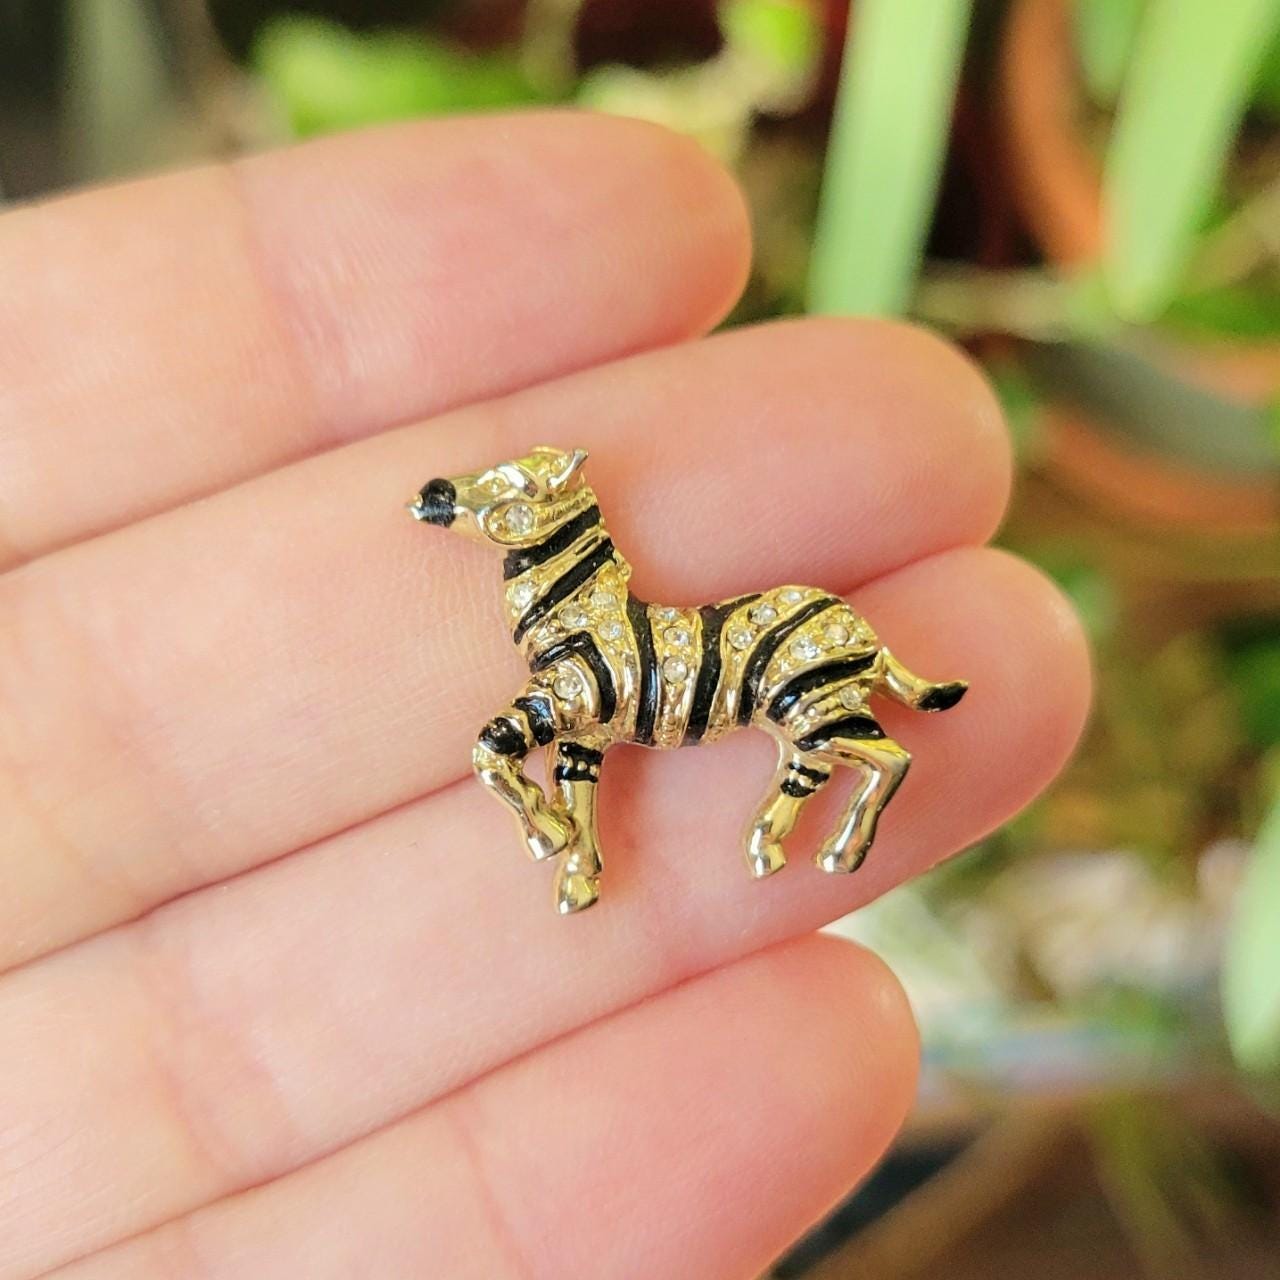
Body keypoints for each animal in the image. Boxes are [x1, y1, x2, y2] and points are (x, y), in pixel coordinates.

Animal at [410, 446, 968, 915]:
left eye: (511, 482)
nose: (431, 492)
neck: (575, 608)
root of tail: (864, 629)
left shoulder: (563, 700)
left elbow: (488, 753)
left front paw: (546, 837)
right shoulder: (582, 740)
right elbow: (579, 804)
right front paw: (578, 881)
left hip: (822, 706)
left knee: (893, 760)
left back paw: (840, 855)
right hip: (806, 713)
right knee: (811, 771)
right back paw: (764, 849)